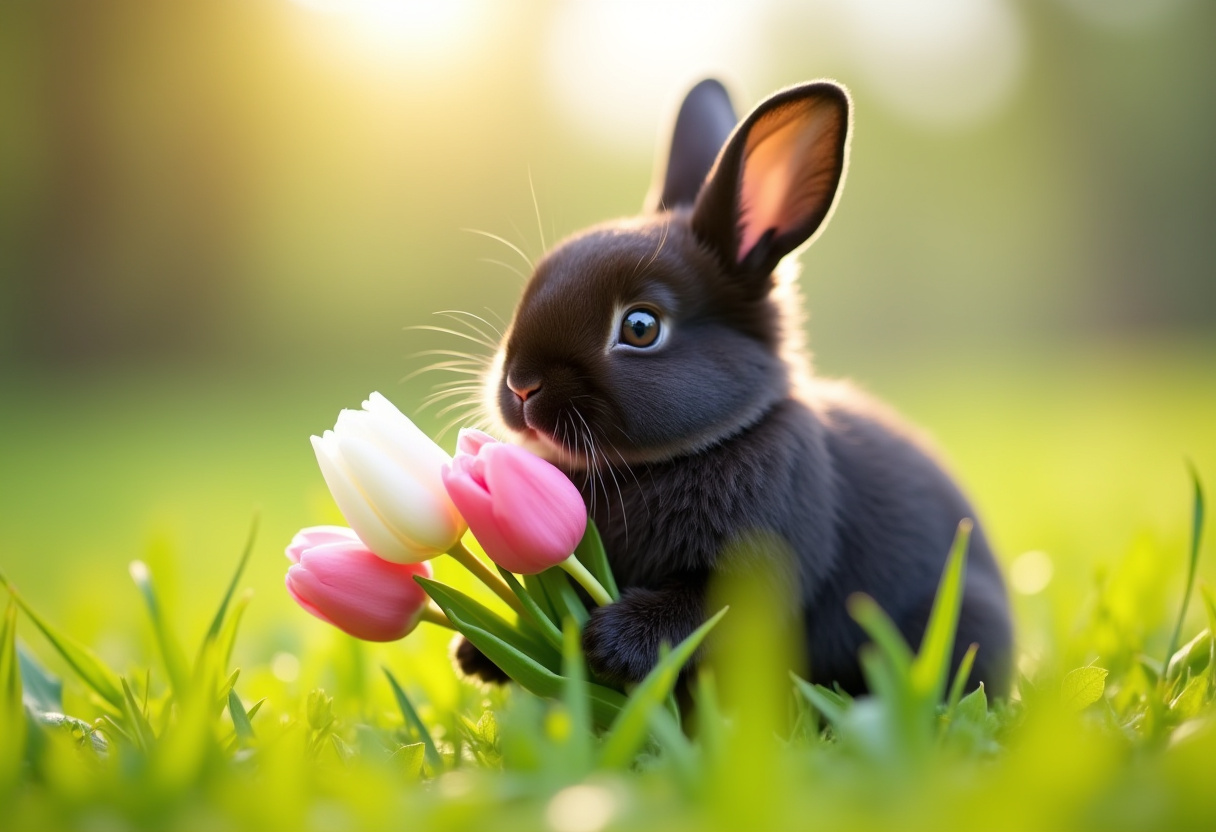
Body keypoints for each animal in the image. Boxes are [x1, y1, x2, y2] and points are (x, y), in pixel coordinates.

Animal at [454, 79, 1013, 697]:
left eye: (641, 328)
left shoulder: (757, 567)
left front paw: (609, 644)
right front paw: (478, 656)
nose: (522, 386)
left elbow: (705, 614)